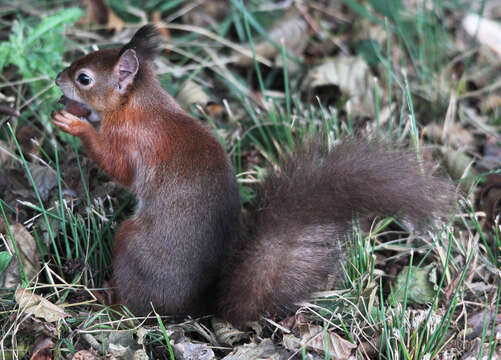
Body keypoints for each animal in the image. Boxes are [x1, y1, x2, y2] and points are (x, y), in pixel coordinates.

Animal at [53, 25, 454, 328]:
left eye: (84, 78)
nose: (58, 80)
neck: (140, 104)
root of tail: (195, 310)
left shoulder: (135, 143)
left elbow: (114, 163)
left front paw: (75, 124)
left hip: (130, 243)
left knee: (131, 302)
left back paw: (107, 297)